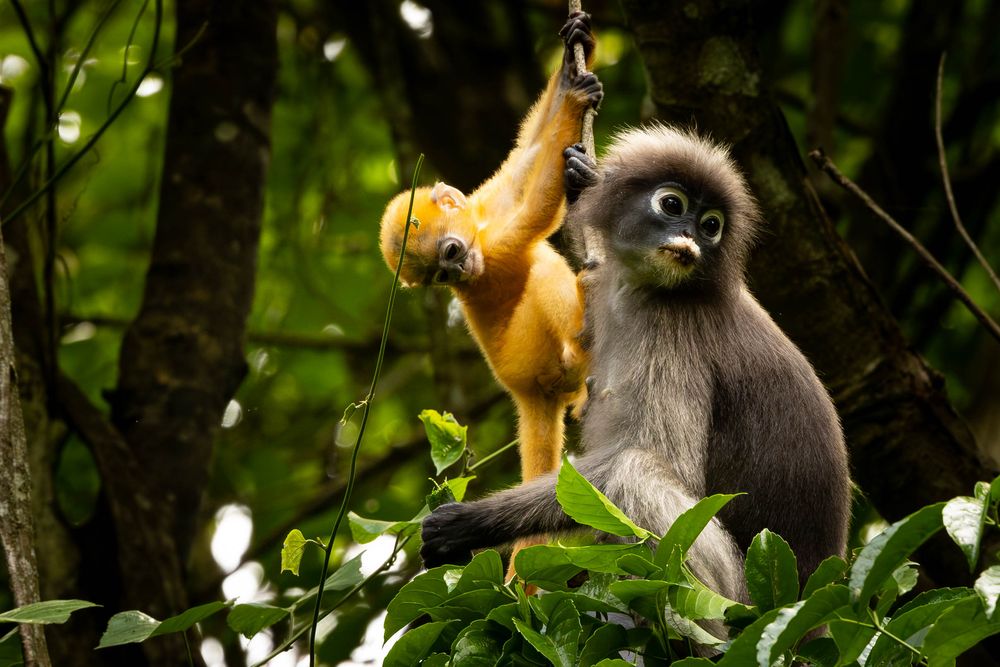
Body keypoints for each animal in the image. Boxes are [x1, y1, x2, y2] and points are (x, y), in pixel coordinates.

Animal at [378, 14, 603, 572]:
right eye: (439, 278)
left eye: (450, 253)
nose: (458, 271)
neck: (480, 235)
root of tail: (525, 393)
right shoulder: (497, 251)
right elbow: (537, 212)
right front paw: (575, 113)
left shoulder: (485, 206)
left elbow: (528, 155)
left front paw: (572, 65)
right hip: (534, 358)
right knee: (543, 271)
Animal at [420, 124, 852, 605]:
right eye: (673, 205)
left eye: (711, 226)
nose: (690, 241)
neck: (648, 290)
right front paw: (578, 180)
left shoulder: (673, 332)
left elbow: (663, 462)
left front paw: (468, 523)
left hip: (737, 588)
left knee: (636, 473)